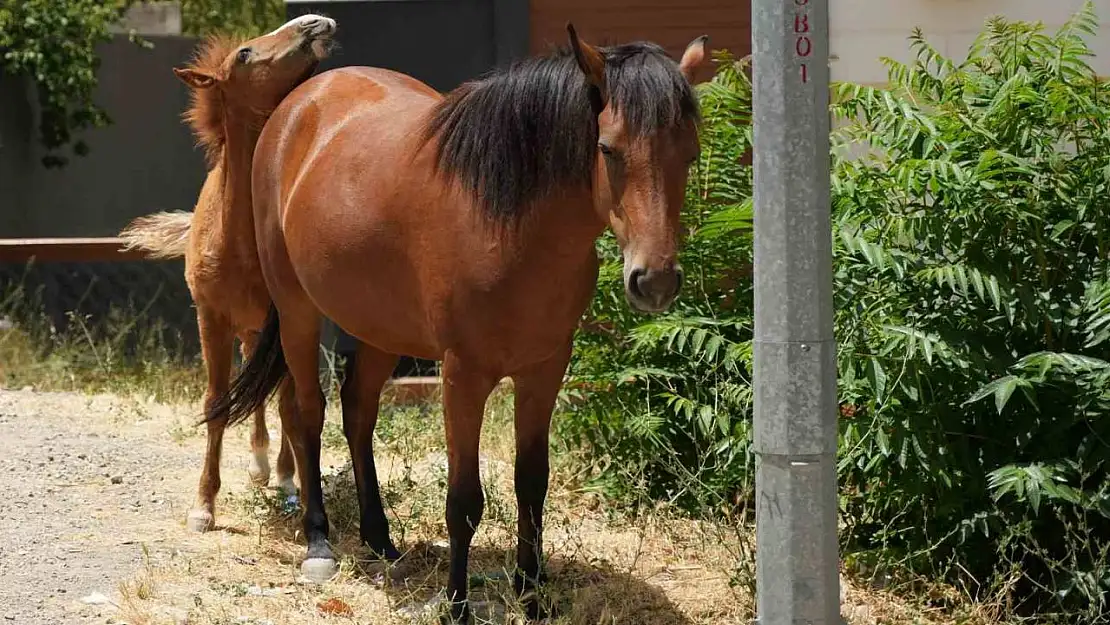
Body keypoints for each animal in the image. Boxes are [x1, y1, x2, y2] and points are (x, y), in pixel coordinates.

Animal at [120, 13, 337, 532]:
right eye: (244, 53)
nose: (315, 21)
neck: (238, 240)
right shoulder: (212, 320)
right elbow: (217, 404)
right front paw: (203, 506)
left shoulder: (290, 324)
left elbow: (291, 406)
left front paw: (297, 489)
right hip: (247, 331)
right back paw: (260, 466)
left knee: (275, 398)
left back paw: (281, 474)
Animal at [212, 23, 705, 621]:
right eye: (607, 149)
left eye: (690, 154)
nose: (654, 281)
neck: (511, 225)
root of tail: (301, 101)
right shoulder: (462, 376)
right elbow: (465, 501)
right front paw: (456, 605)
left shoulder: (544, 370)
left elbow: (531, 483)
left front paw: (533, 595)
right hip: (298, 312)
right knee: (306, 413)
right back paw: (319, 543)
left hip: (380, 327)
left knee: (358, 412)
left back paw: (380, 541)